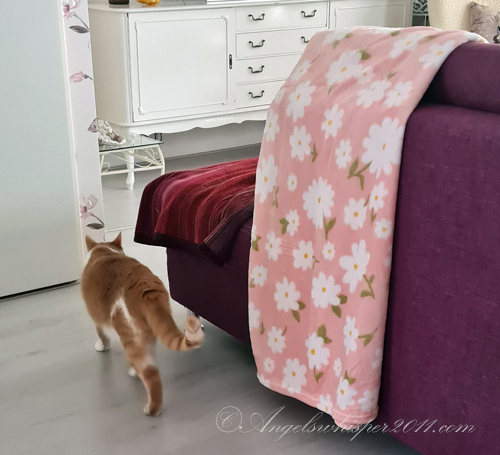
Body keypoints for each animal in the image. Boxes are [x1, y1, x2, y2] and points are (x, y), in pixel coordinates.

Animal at [81, 233, 204, 416]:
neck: (104, 251)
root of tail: (146, 289)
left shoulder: (95, 316)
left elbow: (101, 332)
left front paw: (102, 346)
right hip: (148, 333)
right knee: (148, 361)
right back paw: (135, 371)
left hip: (130, 334)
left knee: (150, 373)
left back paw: (152, 409)